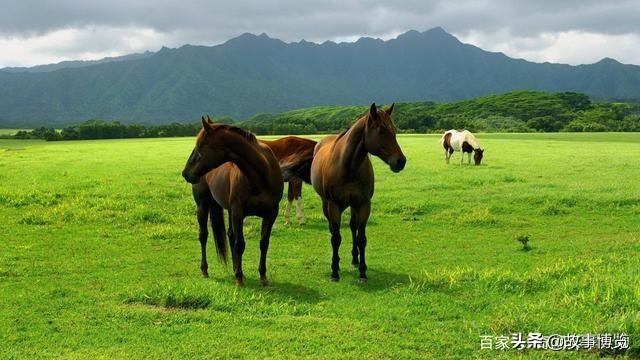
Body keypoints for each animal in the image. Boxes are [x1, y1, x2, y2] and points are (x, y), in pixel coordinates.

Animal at [182, 116, 282, 286]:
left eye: (200, 146)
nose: (185, 173)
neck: (261, 175)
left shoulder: (271, 213)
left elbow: (264, 243)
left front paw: (262, 276)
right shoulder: (238, 212)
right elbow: (239, 244)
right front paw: (239, 278)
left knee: (229, 235)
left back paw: (235, 269)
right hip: (203, 206)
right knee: (204, 236)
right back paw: (205, 270)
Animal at [308, 102, 404, 282]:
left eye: (394, 130)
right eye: (381, 131)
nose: (401, 161)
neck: (348, 166)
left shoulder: (363, 204)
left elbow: (361, 238)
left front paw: (362, 271)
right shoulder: (334, 205)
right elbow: (336, 238)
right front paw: (334, 271)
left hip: (353, 205)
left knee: (353, 227)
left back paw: (354, 258)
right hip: (326, 204)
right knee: (333, 230)